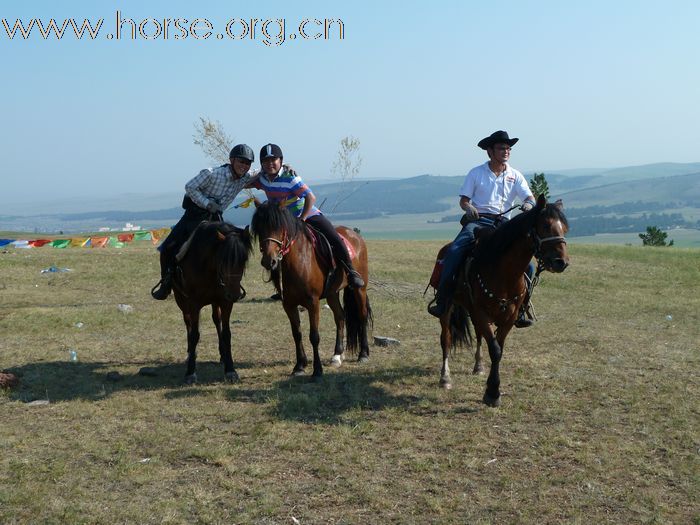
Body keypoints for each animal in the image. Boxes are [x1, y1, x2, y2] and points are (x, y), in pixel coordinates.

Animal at [172, 219, 253, 382]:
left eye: (244, 259)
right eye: (223, 259)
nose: (234, 294)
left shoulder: (225, 302)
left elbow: (226, 333)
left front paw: (230, 370)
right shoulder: (193, 304)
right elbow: (195, 334)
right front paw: (190, 372)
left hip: (216, 302)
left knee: (217, 320)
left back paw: (222, 354)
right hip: (182, 301)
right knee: (188, 323)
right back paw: (190, 353)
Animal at [250, 203, 372, 378]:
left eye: (280, 227)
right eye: (260, 228)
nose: (269, 260)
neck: (299, 261)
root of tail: (355, 235)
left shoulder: (312, 302)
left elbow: (314, 336)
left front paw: (317, 370)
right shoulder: (289, 304)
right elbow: (297, 334)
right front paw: (299, 366)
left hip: (360, 289)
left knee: (362, 315)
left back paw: (363, 354)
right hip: (332, 293)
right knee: (340, 317)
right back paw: (337, 355)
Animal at [434, 195, 572, 406]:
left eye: (564, 228)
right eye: (546, 226)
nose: (561, 262)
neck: (502, 271)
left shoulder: (509, 316)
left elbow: (498, 348)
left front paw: (492, 389)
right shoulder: (481, 312)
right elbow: (495, 349)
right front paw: (492, 392)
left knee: (478, 335)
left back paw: (478, 366)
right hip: (448, 308)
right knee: (446, 338)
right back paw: (445, 378)